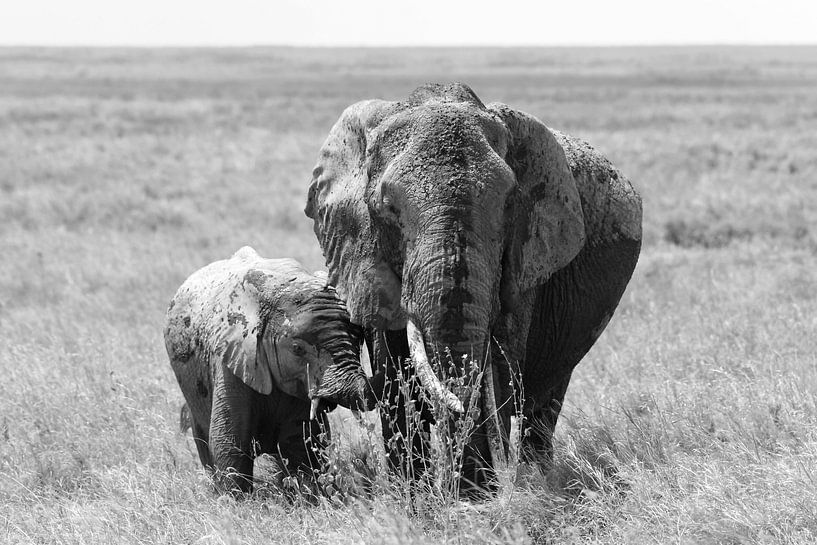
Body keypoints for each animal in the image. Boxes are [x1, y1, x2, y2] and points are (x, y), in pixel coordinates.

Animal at [164, 246, 376, 493]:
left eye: (359, 340)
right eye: (297, 349)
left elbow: (302, 445)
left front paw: (309, 495)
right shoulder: (230, 361)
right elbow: (229, 442)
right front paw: (237, 500)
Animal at [304, 83, 642, 495]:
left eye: (509, 204)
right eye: (387, 208)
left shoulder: (526, 258)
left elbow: (498, 370)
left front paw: (475, 498)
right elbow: (396, 377)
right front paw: (419, 502)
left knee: (543, 405)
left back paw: (538, 477)